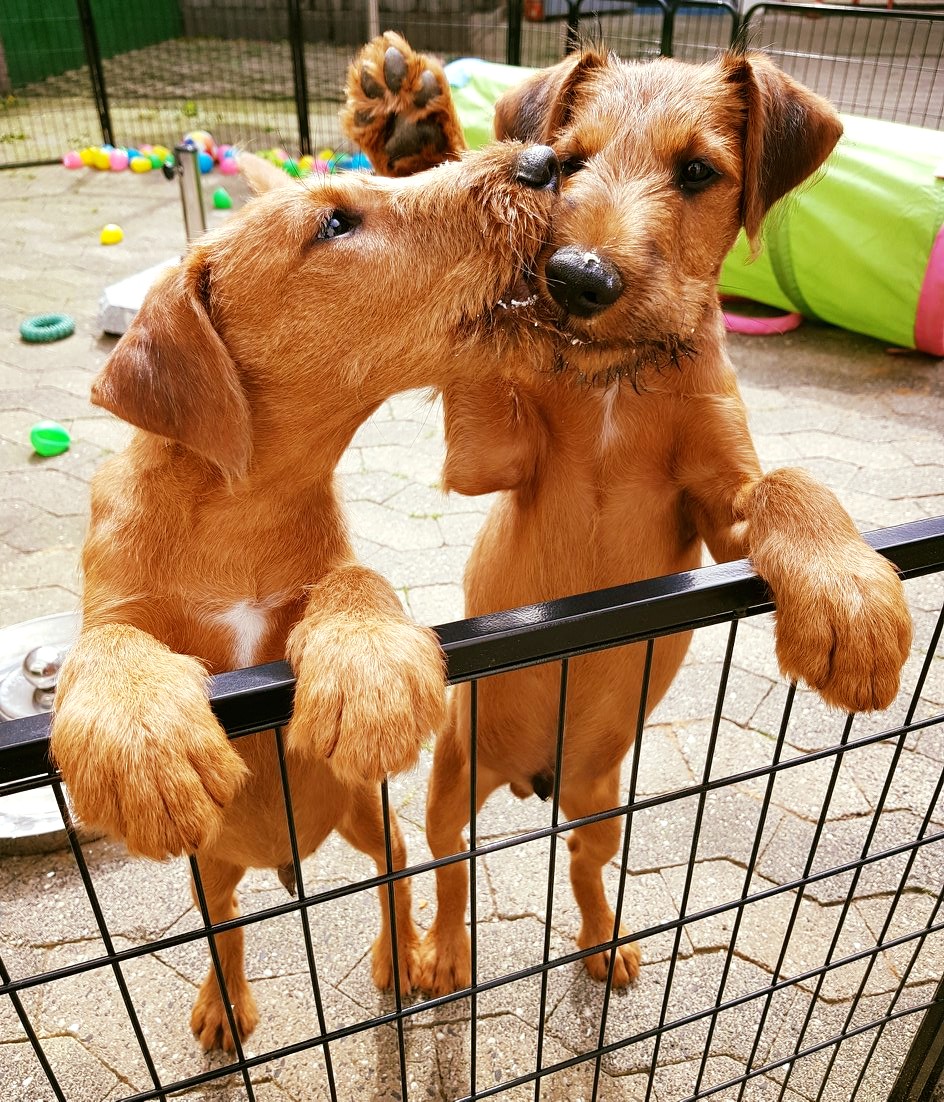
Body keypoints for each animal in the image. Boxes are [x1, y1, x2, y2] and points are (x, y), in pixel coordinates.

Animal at [47, 142, 563, 1044]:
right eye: (334, 223)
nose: (543, 160)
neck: (239, 512)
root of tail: (281, 860)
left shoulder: (329, 566)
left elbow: (355, 580)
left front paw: (369, 670)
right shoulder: (112, 602)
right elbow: (109, 642)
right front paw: (142, 734)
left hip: (364, 811)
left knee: (397, 871)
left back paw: (402, 956)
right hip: (208, 867)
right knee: (225, 929)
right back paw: (223, 1004)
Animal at [341, 38, 907, 996]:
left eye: (698, 171)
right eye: (567, 162)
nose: (574, 279)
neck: (612, 376)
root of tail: (534, 779)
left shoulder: (721, 512)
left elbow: (790, 484)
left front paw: (851, 602)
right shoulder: (492, 458)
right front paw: (415, 137)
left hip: (603, 802)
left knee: (583, 868)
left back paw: (606, 943)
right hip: (453, 777)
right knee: (447, 870)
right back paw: (436, 953)